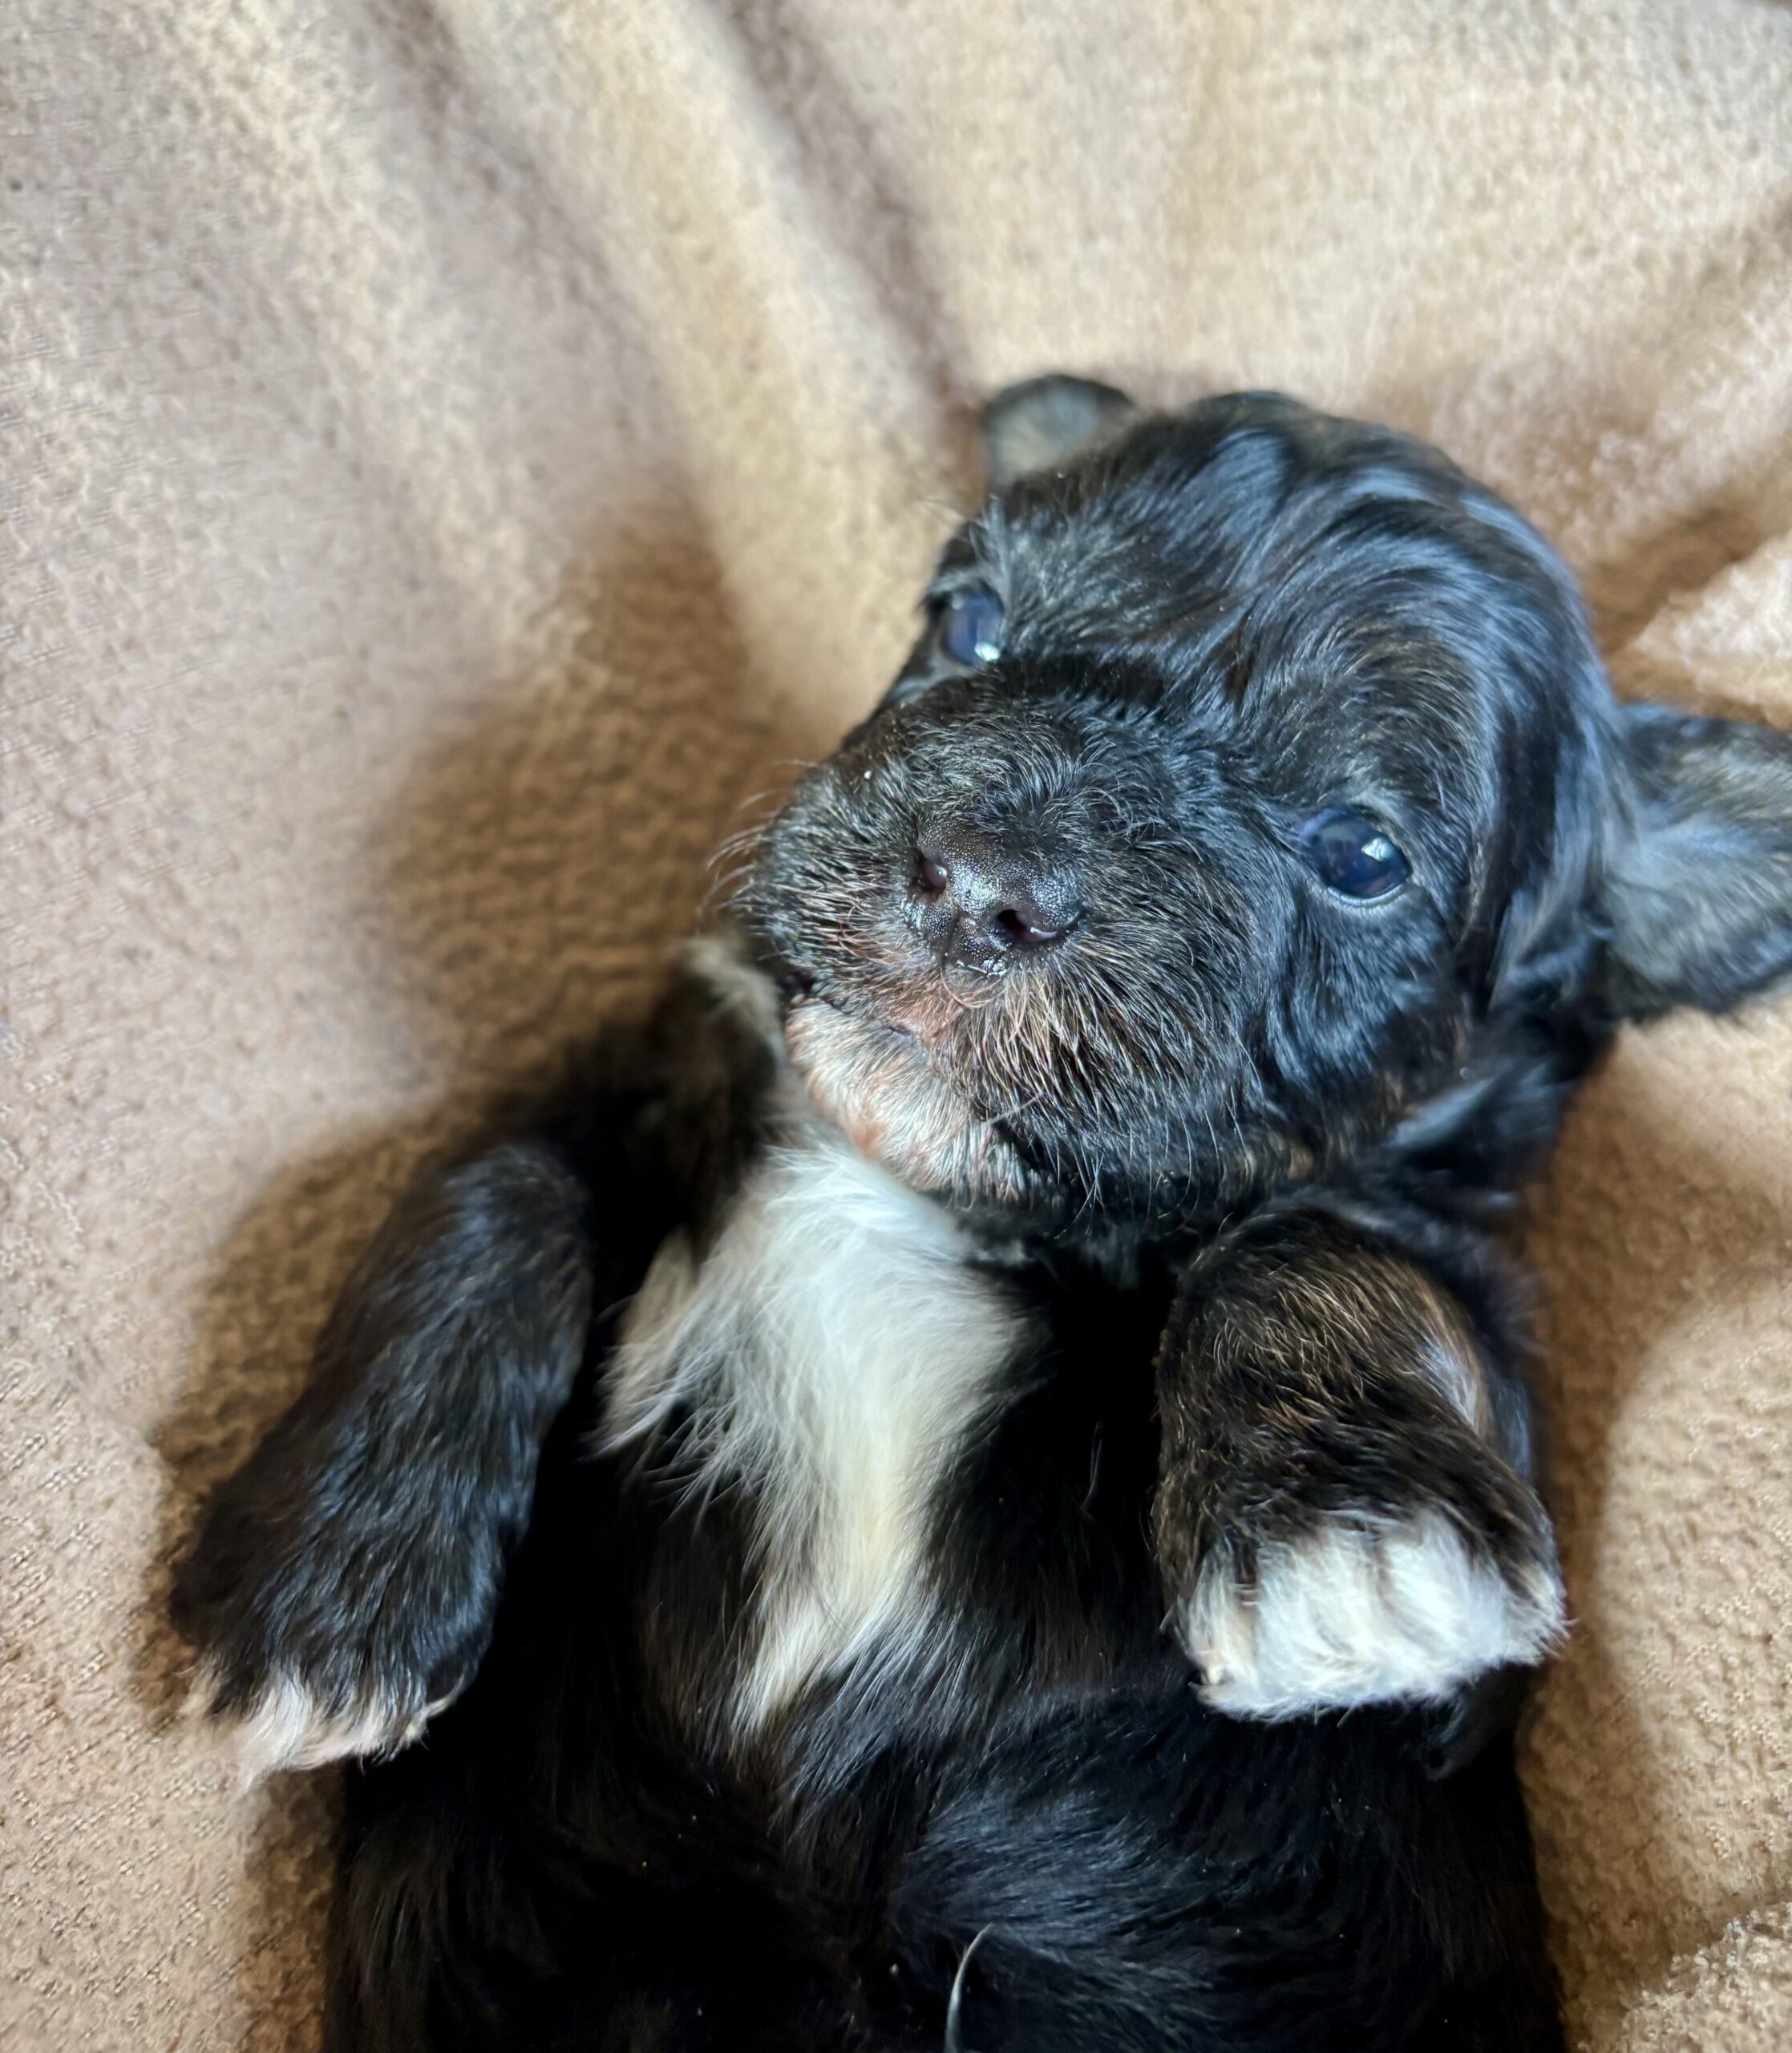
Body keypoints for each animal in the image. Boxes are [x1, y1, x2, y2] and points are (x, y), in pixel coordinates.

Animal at [173, 381, 1792, 2052]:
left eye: (1361, 854)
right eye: (970, 622)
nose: (974, 880)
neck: (929, 1188)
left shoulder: (1476, 1360)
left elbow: (1322, 1240)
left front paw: (1350, 1528)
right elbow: (494, 1182)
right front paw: (331, 1583)